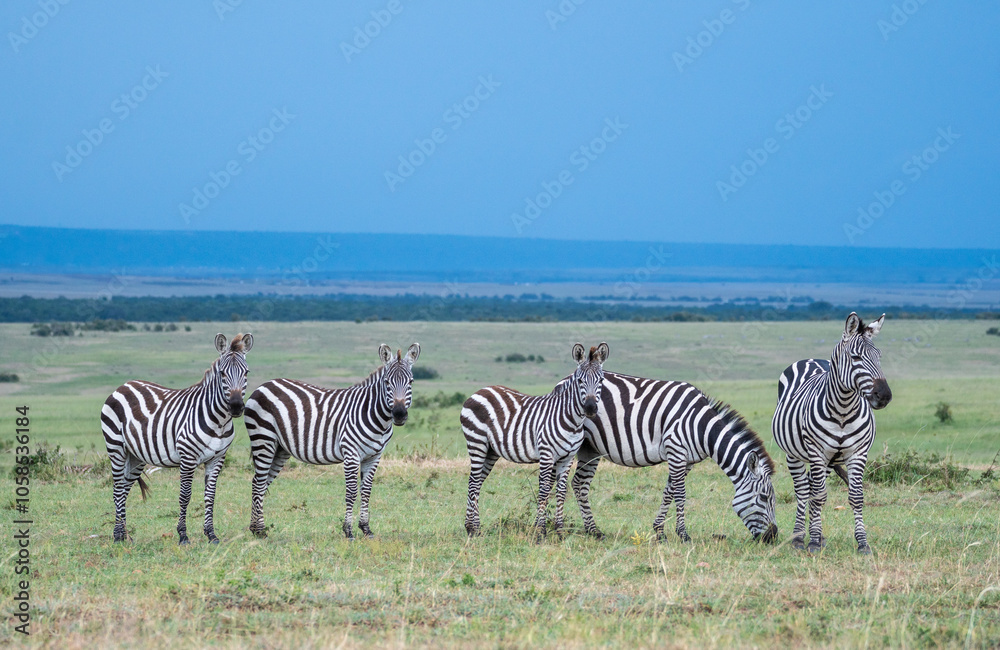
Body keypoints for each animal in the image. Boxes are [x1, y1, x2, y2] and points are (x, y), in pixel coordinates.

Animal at [101, 332, 253, 544]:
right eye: (222, 374)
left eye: (246, 372)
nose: (237, 406)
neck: (219, 421)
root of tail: (123, 386)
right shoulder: (188, 457)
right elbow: (185, 495)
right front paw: (183, 535)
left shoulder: (217, 458)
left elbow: (210, 496)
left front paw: (211, 534)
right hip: (116, 447)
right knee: (117, 490)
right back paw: (117, 536)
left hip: (136, 456)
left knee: (123, 489)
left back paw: (124, 534)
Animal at [243, 343, 420, 540]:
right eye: (387, 382)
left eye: (411, 382)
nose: (399, 414)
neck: (375, 416)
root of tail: (264, 385)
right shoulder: (351, 453)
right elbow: (352, 491)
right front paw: (348, 531)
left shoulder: (374, 456)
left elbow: (366, 491)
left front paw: (366, 529)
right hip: (263, 438)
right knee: (259, 483)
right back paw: (259, 530)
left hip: (279, 448)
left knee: (261, 482)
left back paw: (255, 528)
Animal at [461, 342, 609, 540]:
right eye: (580, 381)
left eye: (601, 381)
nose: (591, 408)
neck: (572, 421)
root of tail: (479, 391)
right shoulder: (546, 454)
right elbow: (544, 491)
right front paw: (540, 532)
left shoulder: (568, 458)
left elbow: (561, 492)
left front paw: (560, 531)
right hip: (476, 443)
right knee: (473, 482)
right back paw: (471, 529)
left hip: (490, 451)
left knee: (477, 483)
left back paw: (474, 528)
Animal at [568, 371, 778, 543]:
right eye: (764, 497)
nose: (773, 537)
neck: (701, 427)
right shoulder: (675, 450)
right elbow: (680, 493)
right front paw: (683, 534)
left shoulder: (687, 460)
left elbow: (669, 491)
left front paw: (659, 531)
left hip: (590, 447)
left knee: (579, 483)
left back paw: (593, 531)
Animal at [772, 313, 892, 554]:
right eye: (855, 357)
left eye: (879, 356)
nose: (884, 395)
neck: (843, 410)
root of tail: (810, 359)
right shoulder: (817, 452)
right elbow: (818, 497)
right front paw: (812, 543)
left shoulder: (858, 453)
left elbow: (856, 497)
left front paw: (862, 543)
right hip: (795, 454)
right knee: (803, 490)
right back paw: (799, 537)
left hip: (828, 461)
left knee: (811, 488)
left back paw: (816, 535)